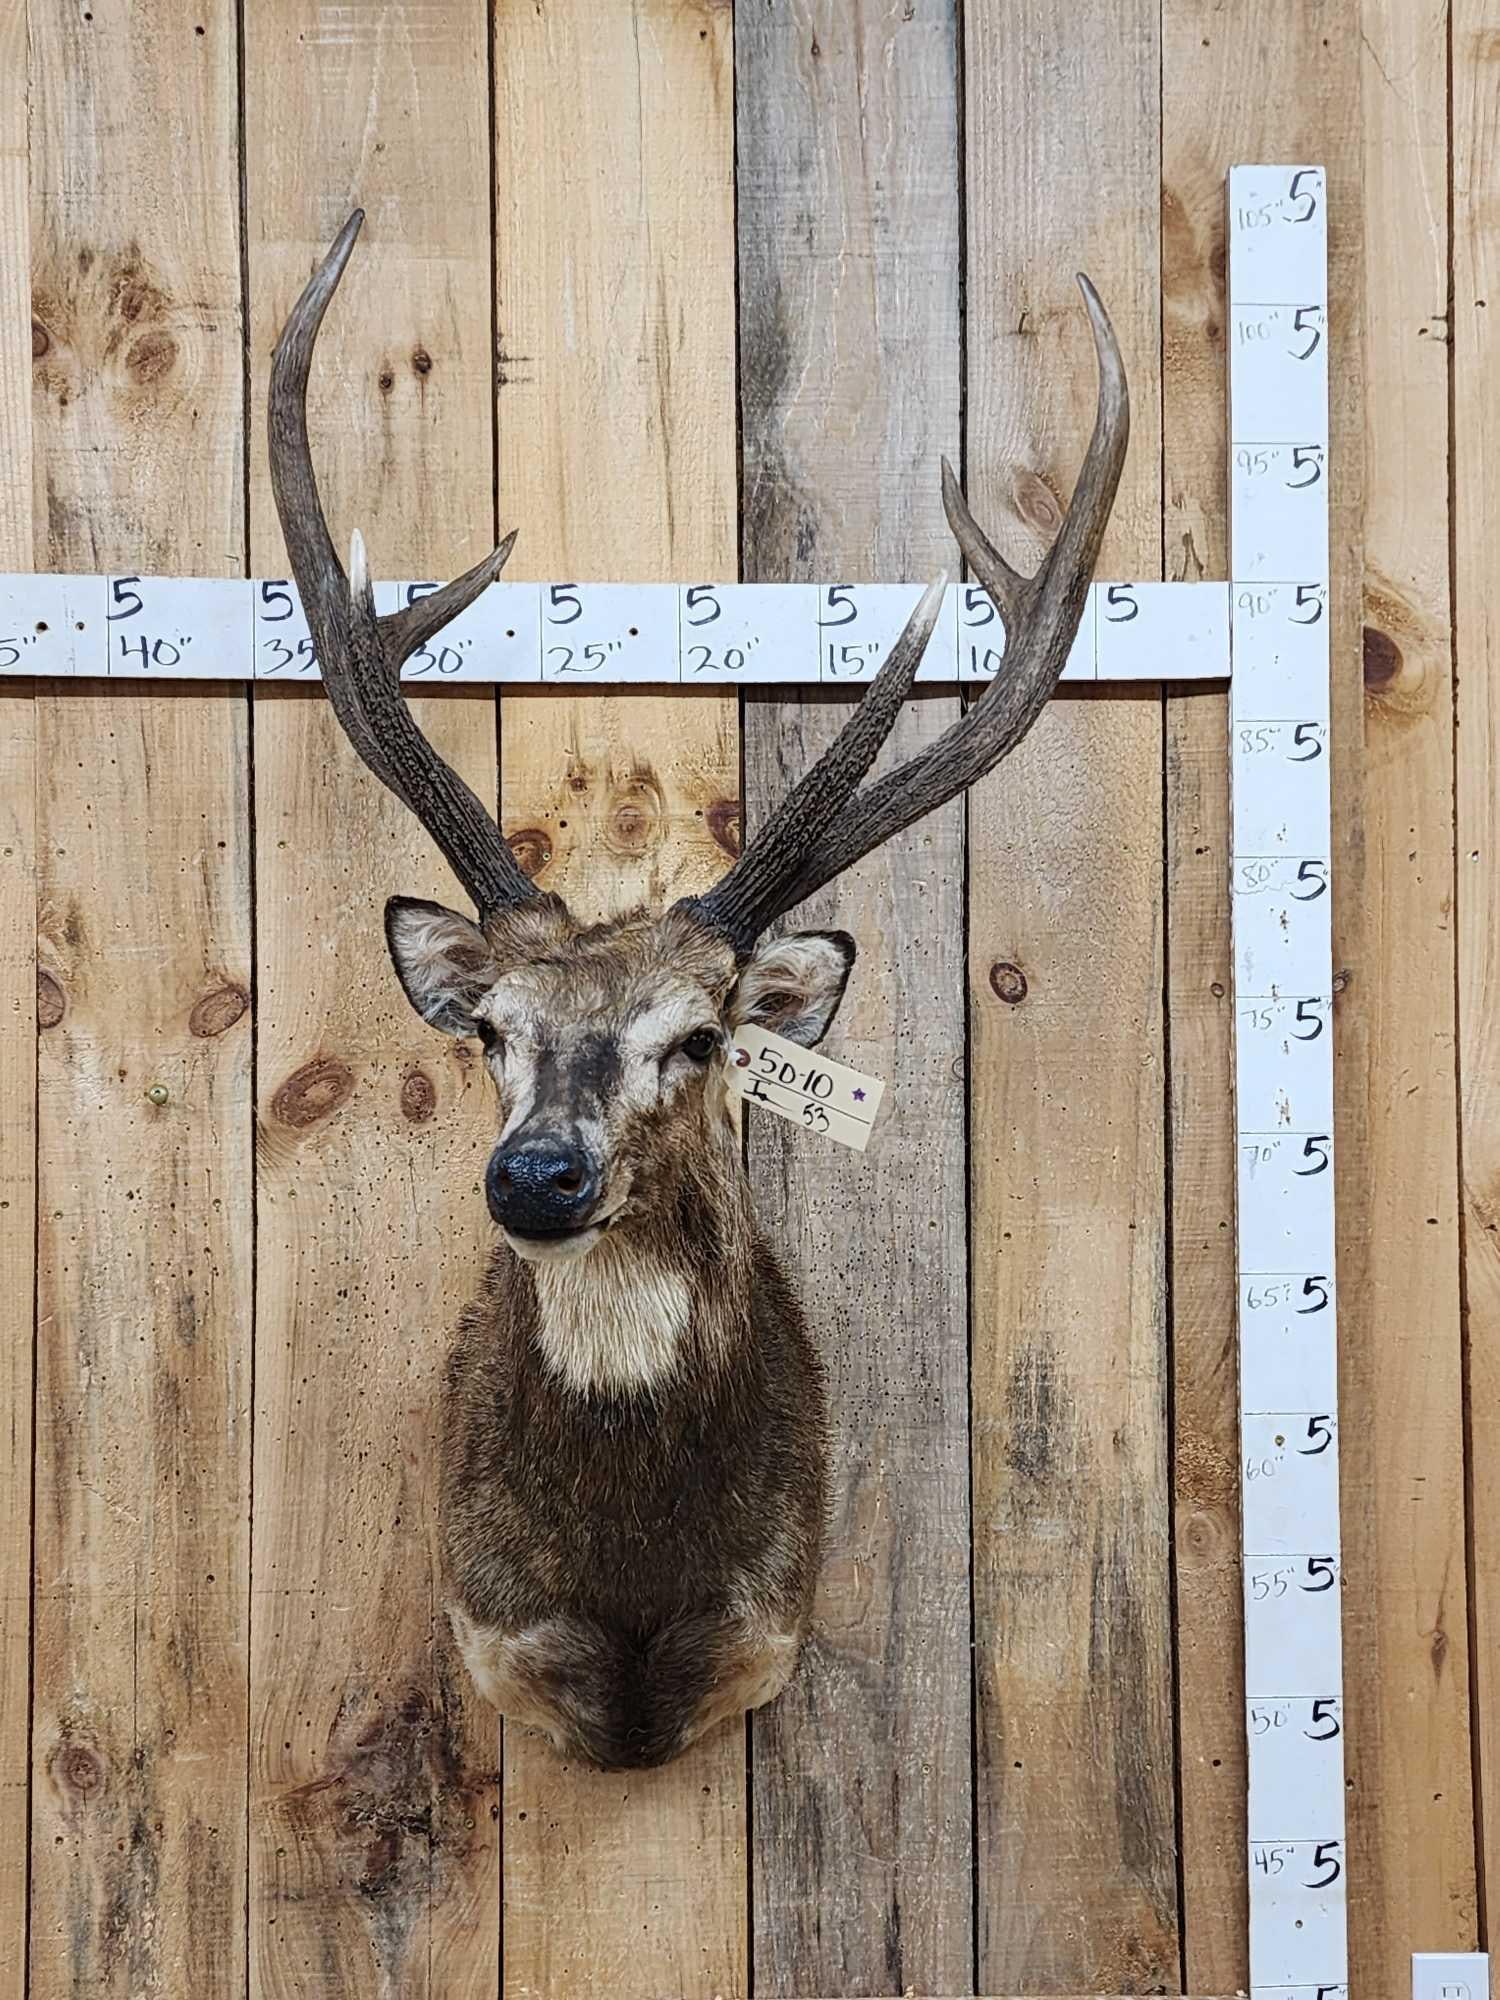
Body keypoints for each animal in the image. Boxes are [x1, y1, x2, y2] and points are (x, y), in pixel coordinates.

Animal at [268, 212, 1127, 1772]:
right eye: (491, 1029)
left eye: (705, 1035)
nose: (536, 1173)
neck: (630, 1589)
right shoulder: (494, 1629)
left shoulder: (765, 1621)